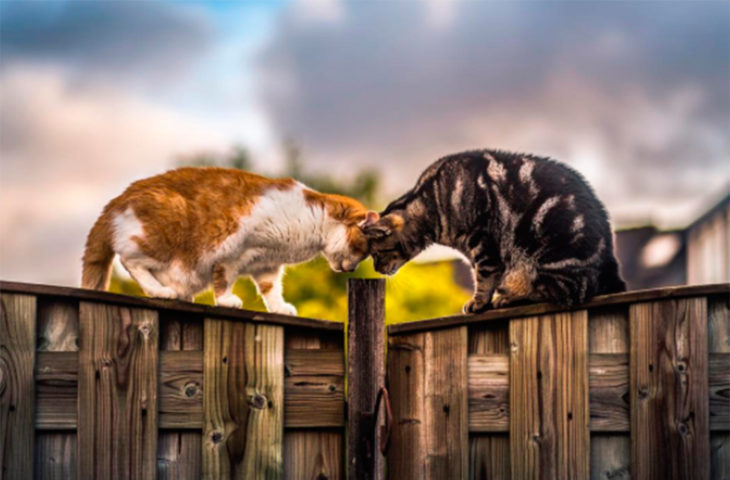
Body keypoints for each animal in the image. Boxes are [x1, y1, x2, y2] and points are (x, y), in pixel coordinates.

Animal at [81, 166, 376, 316]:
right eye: (360, 252)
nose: (350, 269)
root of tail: (116, 201)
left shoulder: (266, 264)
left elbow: (271, 289)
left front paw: (279, 308)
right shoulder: (232, 251)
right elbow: (224, 279)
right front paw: (226, 301)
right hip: (161, 233)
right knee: (130, 261)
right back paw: (161, 291)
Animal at [364, 150, 624, 314]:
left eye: (376, 254)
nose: (376, 268)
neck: (431, 204)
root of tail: (610, 262)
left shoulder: (482, 239)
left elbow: (484, 276)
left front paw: (478, 302)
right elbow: (483, 275)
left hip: (551, 255)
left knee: (558, 291)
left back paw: (511, 298)